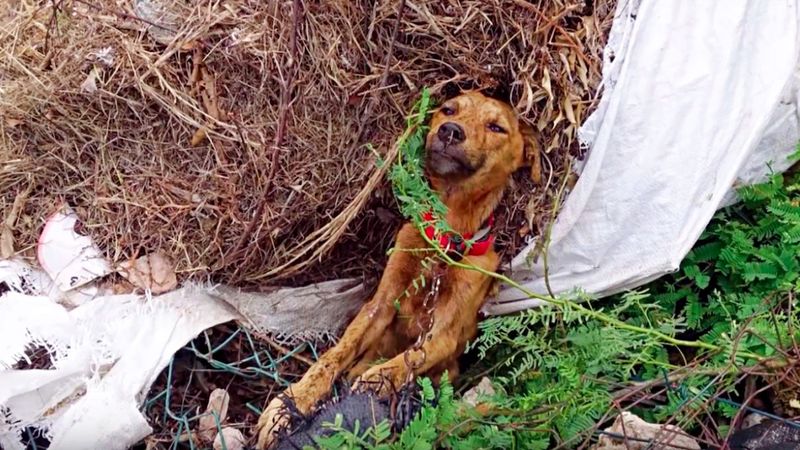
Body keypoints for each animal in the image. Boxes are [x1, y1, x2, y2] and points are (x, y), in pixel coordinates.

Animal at [256, 91, 544, 450]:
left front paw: (377, 381)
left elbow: (415, 355)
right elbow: (336, 353)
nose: (450, 131)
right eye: (449, 109)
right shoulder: (379, 304)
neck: (442, 239)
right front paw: (294, 399)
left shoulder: (446, 333)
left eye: (496, 127)